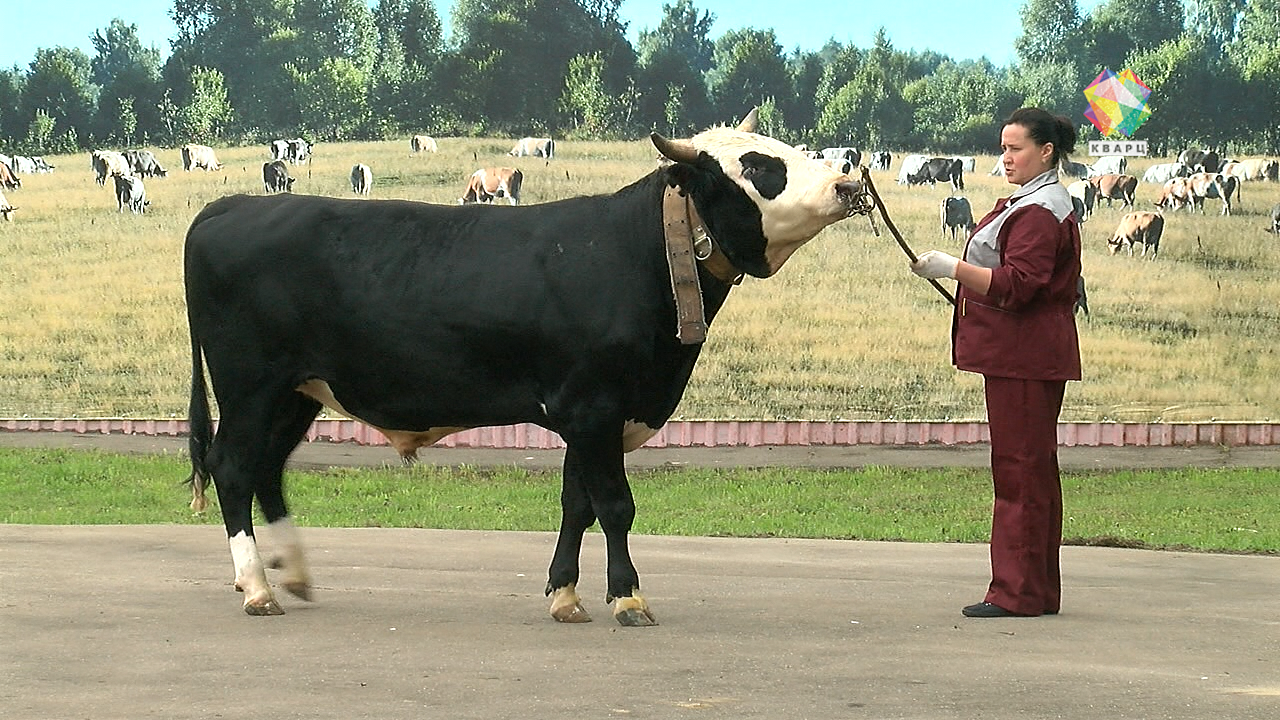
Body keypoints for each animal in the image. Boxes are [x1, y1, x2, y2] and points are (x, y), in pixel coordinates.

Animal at [180, 107, 865, 622]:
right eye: (758, 167)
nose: (850, 182)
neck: (633, 252)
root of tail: (230, 206)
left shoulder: (592, 416)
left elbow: (577, 503)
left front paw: (565, 594)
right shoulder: (594, 407)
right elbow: (614, 504)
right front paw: (628, 598)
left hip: (296, 391)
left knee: (266, 469)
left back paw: (292, 574)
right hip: (250, 385)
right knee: (232, 467)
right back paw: (258, 589)